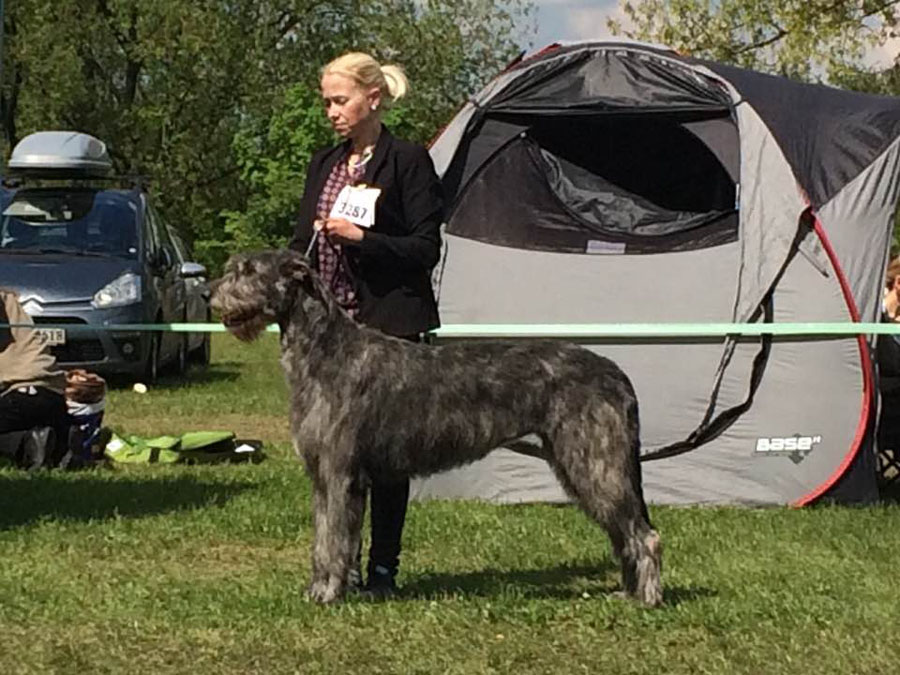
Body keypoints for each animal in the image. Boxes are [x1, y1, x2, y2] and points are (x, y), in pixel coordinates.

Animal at [211, 251, 660, 608]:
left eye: (248, 270)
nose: (208, 294)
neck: (326, 351)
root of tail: (617, 373)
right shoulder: (322, 476)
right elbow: (322, 538)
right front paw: (317, 588)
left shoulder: (341, 474)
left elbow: (336, 537)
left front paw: (329, 594)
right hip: (579, 461)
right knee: (623, 533)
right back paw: (627, 591)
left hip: (595, 460)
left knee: (644, 533)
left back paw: (647, 598)